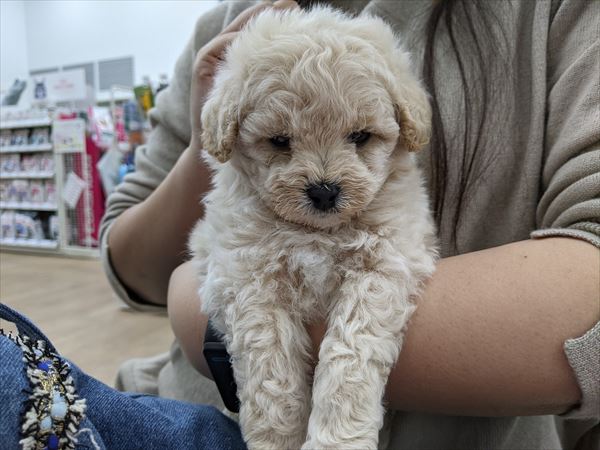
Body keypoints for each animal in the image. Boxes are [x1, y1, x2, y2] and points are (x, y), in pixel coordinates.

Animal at [189, 6, 437, 450]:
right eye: (279, 141)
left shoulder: (385, 262)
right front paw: (277, 438)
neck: (317, 232)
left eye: (360, 136)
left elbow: (350, 352)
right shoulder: (245, 276)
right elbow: (269, 363)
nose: (324, 191)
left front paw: (338, 437)